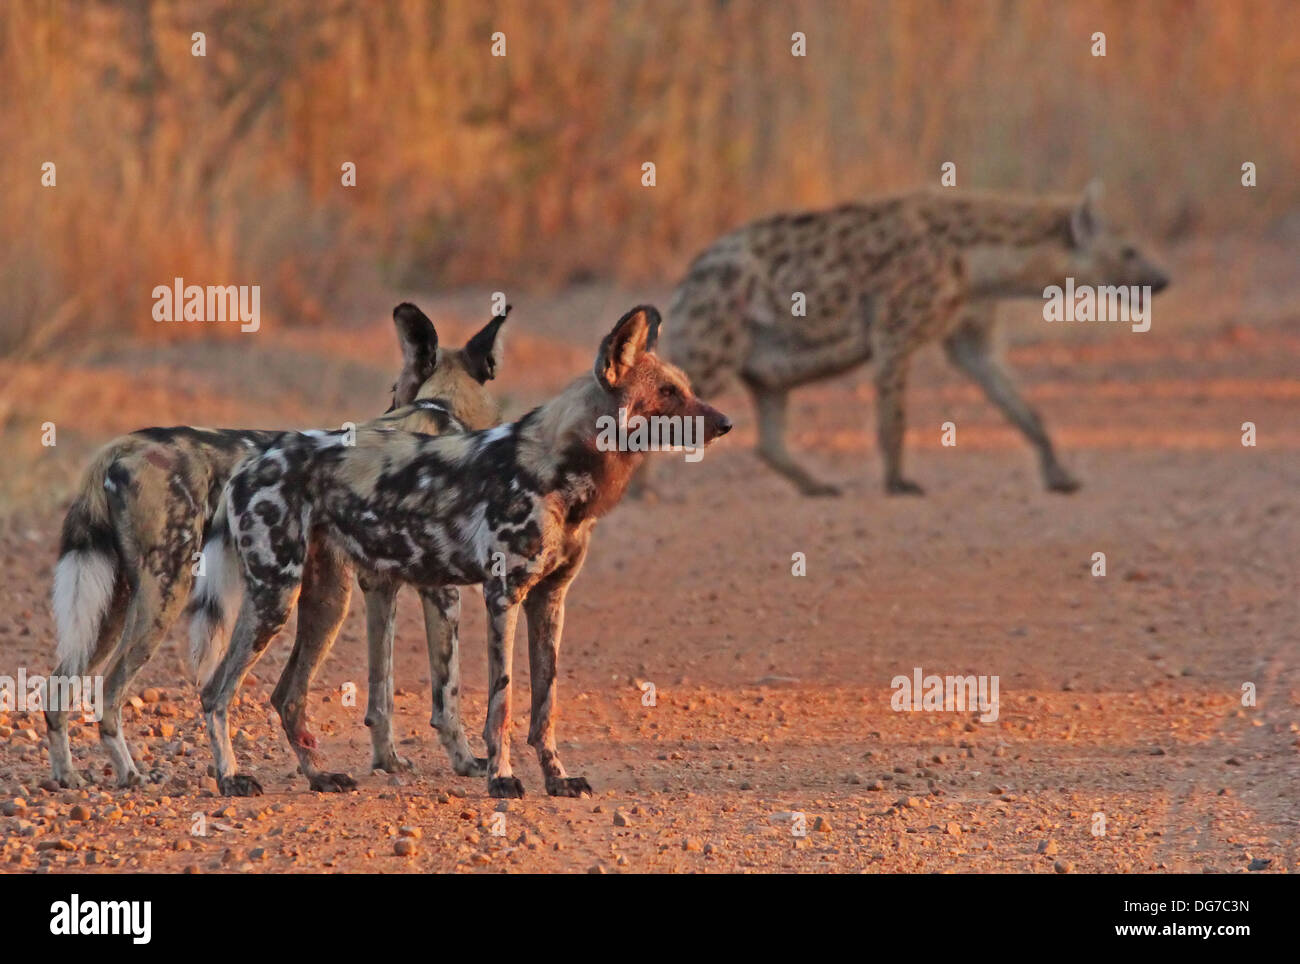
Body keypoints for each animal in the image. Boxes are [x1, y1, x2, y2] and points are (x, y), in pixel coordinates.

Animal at [40, 304, 506, 795]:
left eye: (392, 389)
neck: (441, 412)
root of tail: (120, 446)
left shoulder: (380, 588)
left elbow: (381, 695)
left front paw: (388, 761)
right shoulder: (440, 592)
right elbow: (447, 697)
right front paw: (467, 762)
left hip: (122, 605)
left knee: (60, 688)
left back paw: (67, 774)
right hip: (172, 594)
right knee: (124, 692)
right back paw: (159, 774)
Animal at [188, 307, 733, 800]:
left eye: (685, 388)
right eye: (668, 393)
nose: (726, 423)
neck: (563, 469)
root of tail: (253, 461)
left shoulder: (549, 601)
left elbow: (546, 706)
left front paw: (556, 779)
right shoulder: (502, 597)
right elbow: (502, 703)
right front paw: (501, 778)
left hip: (326, 603)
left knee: (287, 695)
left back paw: (319, 777)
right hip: (276, 598)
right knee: (215, 690)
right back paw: (230, 778)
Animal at [660, 183, 1170, 498]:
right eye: (1129, 251)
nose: (1163, 278)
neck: (977, 260)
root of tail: (691, 271)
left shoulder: (970, 336)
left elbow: (1021, 405)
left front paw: (1060, 475)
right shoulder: (895, 328)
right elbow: (894, 416)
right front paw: (900, 483)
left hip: (765, 362)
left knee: (767, 438)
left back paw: (818, 486)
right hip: (716, 338)